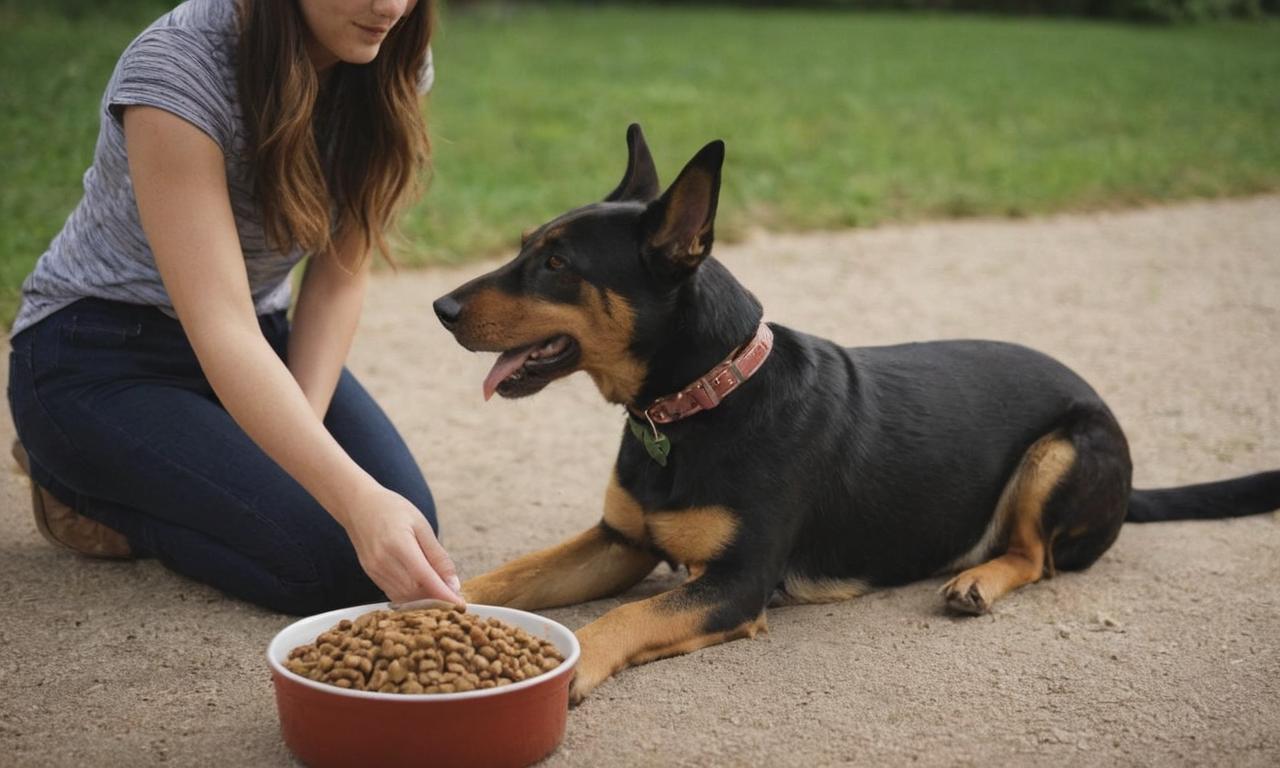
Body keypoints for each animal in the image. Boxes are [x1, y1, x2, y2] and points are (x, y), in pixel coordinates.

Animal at [432, 124, 1280, 701]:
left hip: (1064, 449)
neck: (698, 400)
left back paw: (980, 581)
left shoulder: (735, 585)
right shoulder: (619, 541)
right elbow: (503, 578)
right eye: (527, 245)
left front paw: (571, 673)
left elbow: (620, 620)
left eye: (557, 264)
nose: (439, 308)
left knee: (1034, 555)